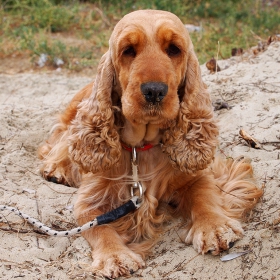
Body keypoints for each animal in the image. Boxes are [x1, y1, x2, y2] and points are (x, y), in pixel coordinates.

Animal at [38, 10, 264, 278]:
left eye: (174, 49)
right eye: (128, 50)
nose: (154, 91)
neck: (141, 147)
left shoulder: (196, 175)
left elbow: (204, 194)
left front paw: (214, 227)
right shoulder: (90, 201)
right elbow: (99, 228)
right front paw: (115, 256)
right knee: (57, 146)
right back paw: (56, 170)